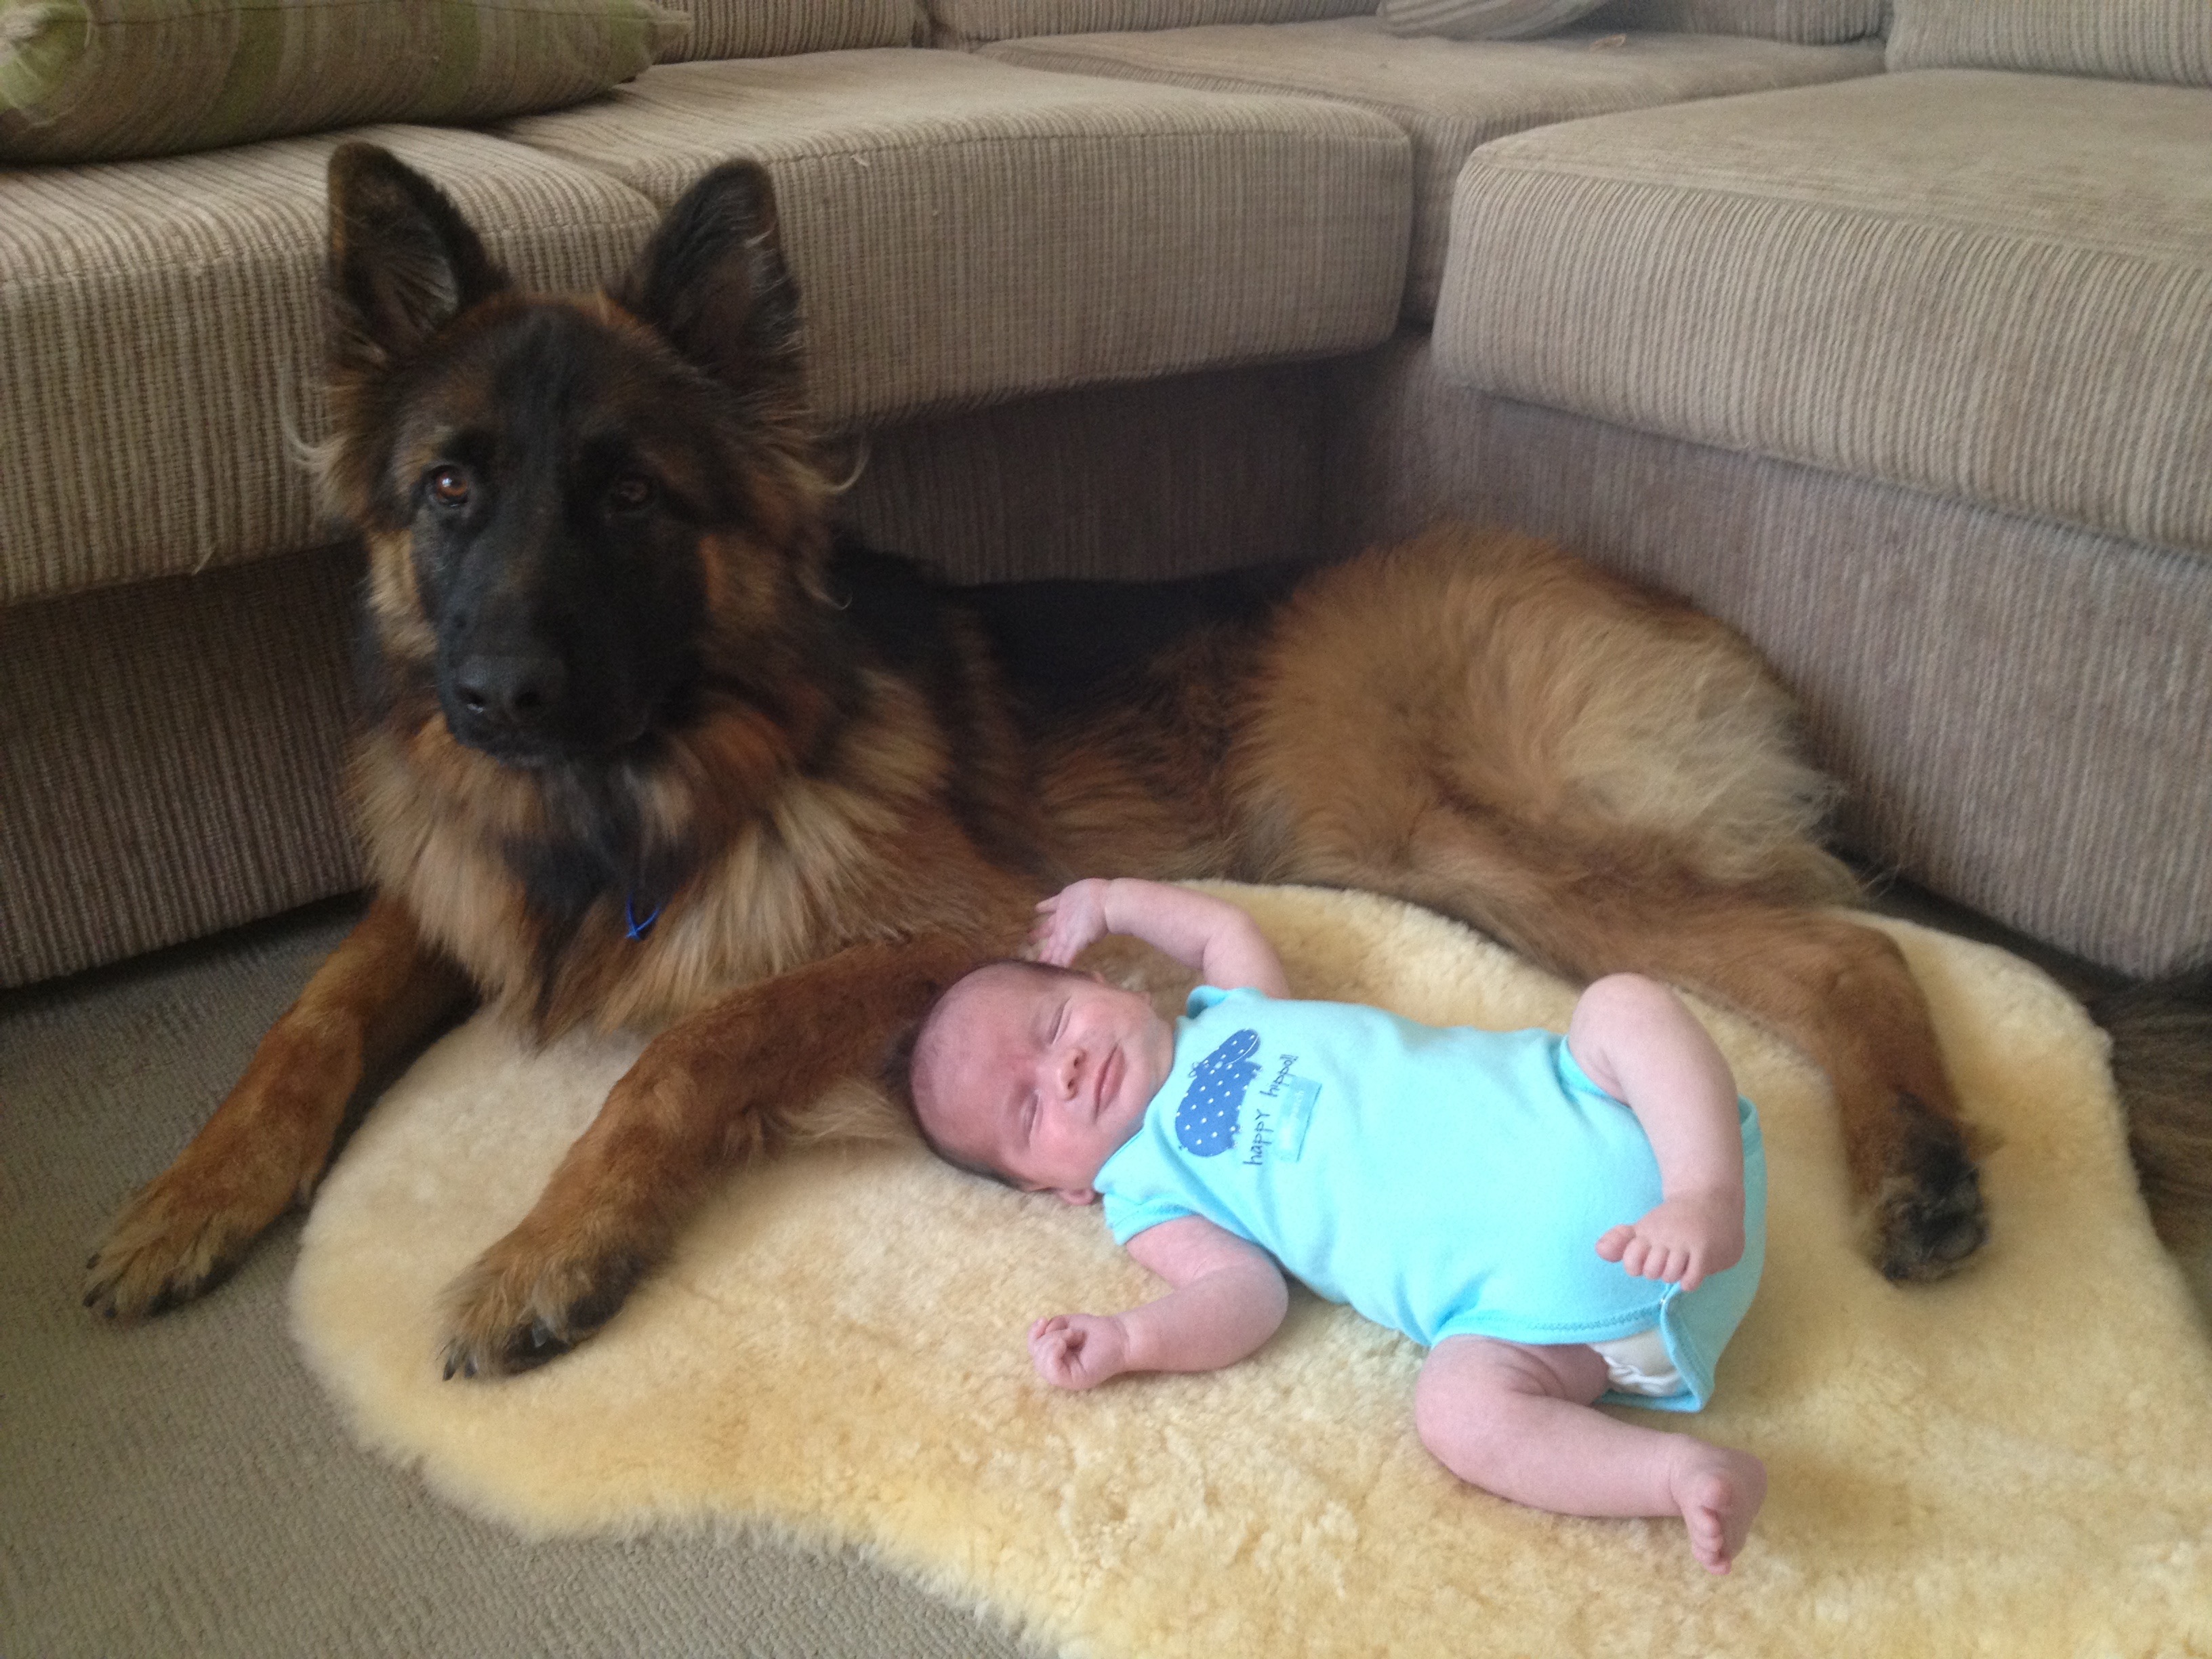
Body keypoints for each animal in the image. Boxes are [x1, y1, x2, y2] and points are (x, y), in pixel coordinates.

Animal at [81, 142, 2158, 1380]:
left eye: (628, 498)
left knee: (1850, 947)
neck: (617, 808)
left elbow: (688, 1044)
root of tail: (1634, 580)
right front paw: (188, 1197)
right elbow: (309, 1017)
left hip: (1455, 829)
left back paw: (1923, 1169)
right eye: (450, 490)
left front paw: (545, 1248)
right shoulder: (458, 889)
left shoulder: (944, 921)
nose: (498, 692)